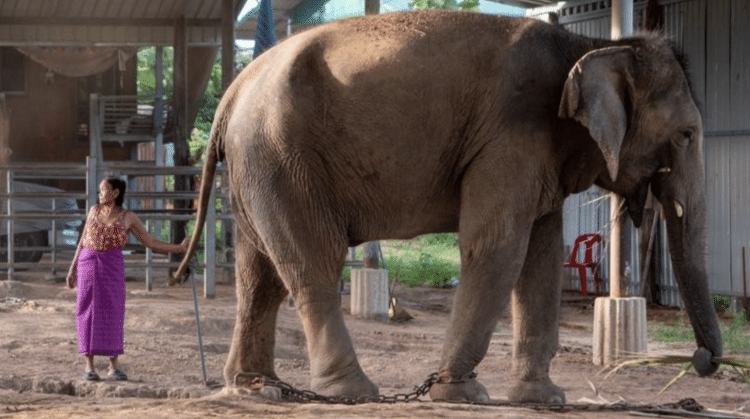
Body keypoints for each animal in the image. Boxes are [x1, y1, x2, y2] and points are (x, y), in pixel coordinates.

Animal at [173, 9, 724, 404]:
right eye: (686, 135)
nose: (702, 361)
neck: (593, 47)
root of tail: (232, 91)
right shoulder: (512, 135)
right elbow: (496, 247)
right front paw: (461, 393)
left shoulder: (537, 151)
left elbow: (542, 259)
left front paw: (543, 399)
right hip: (282, 157)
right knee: (312, 264)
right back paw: (352, 392)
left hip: (256, 167)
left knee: (259, 276)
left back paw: (256, 389)